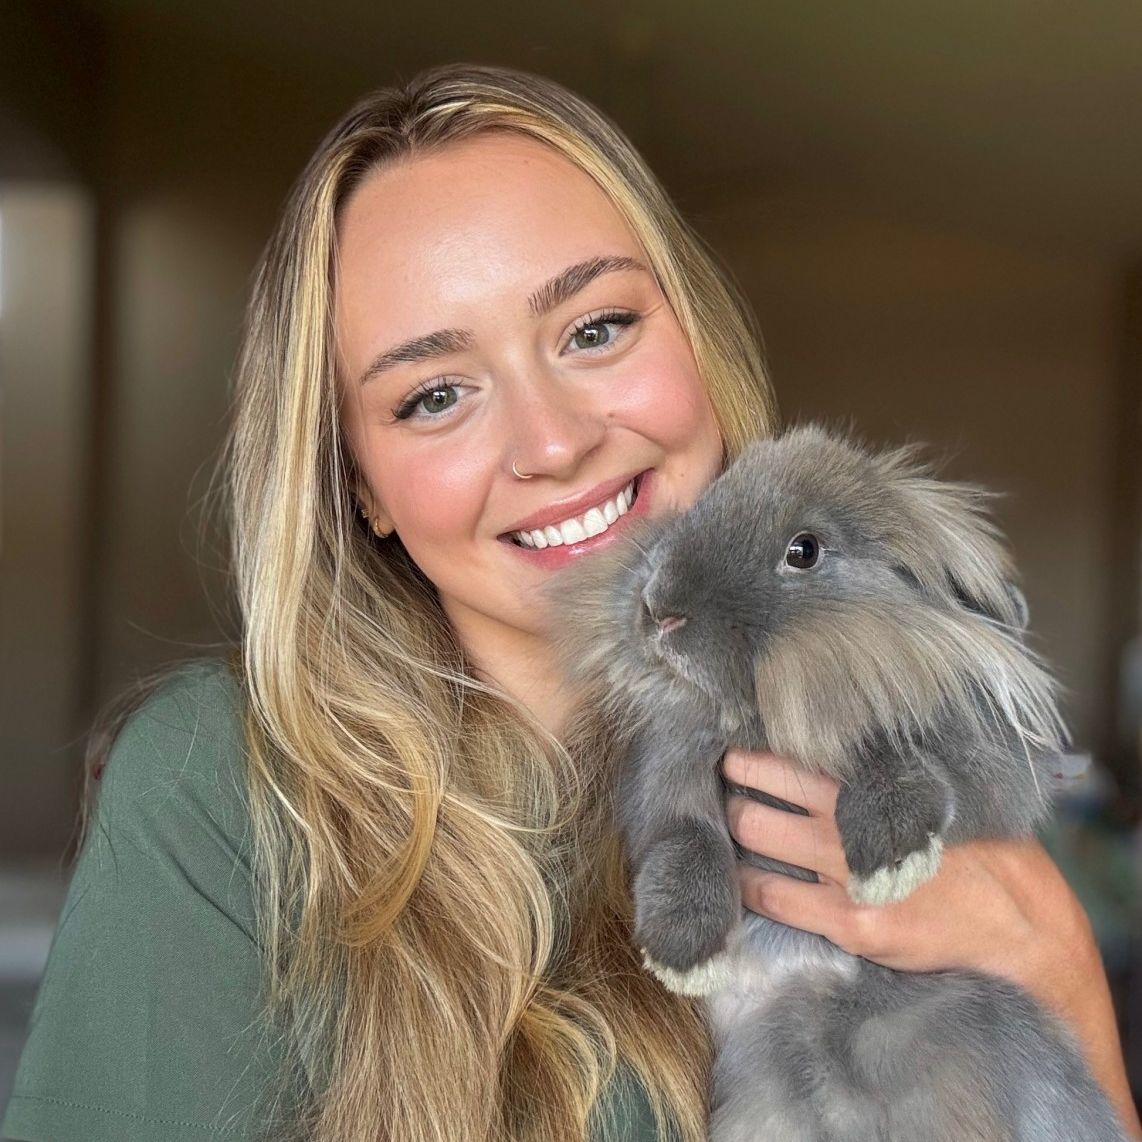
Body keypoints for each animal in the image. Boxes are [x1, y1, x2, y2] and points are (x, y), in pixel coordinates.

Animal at [552, 424, 1128, 1142]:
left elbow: (889, 749)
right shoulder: (667, 778)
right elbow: (684, 842)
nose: (659, 610)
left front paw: (891, 860)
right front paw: (684, 956)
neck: (764, 722)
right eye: (709, 499)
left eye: (804, 551)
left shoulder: (984, 763)